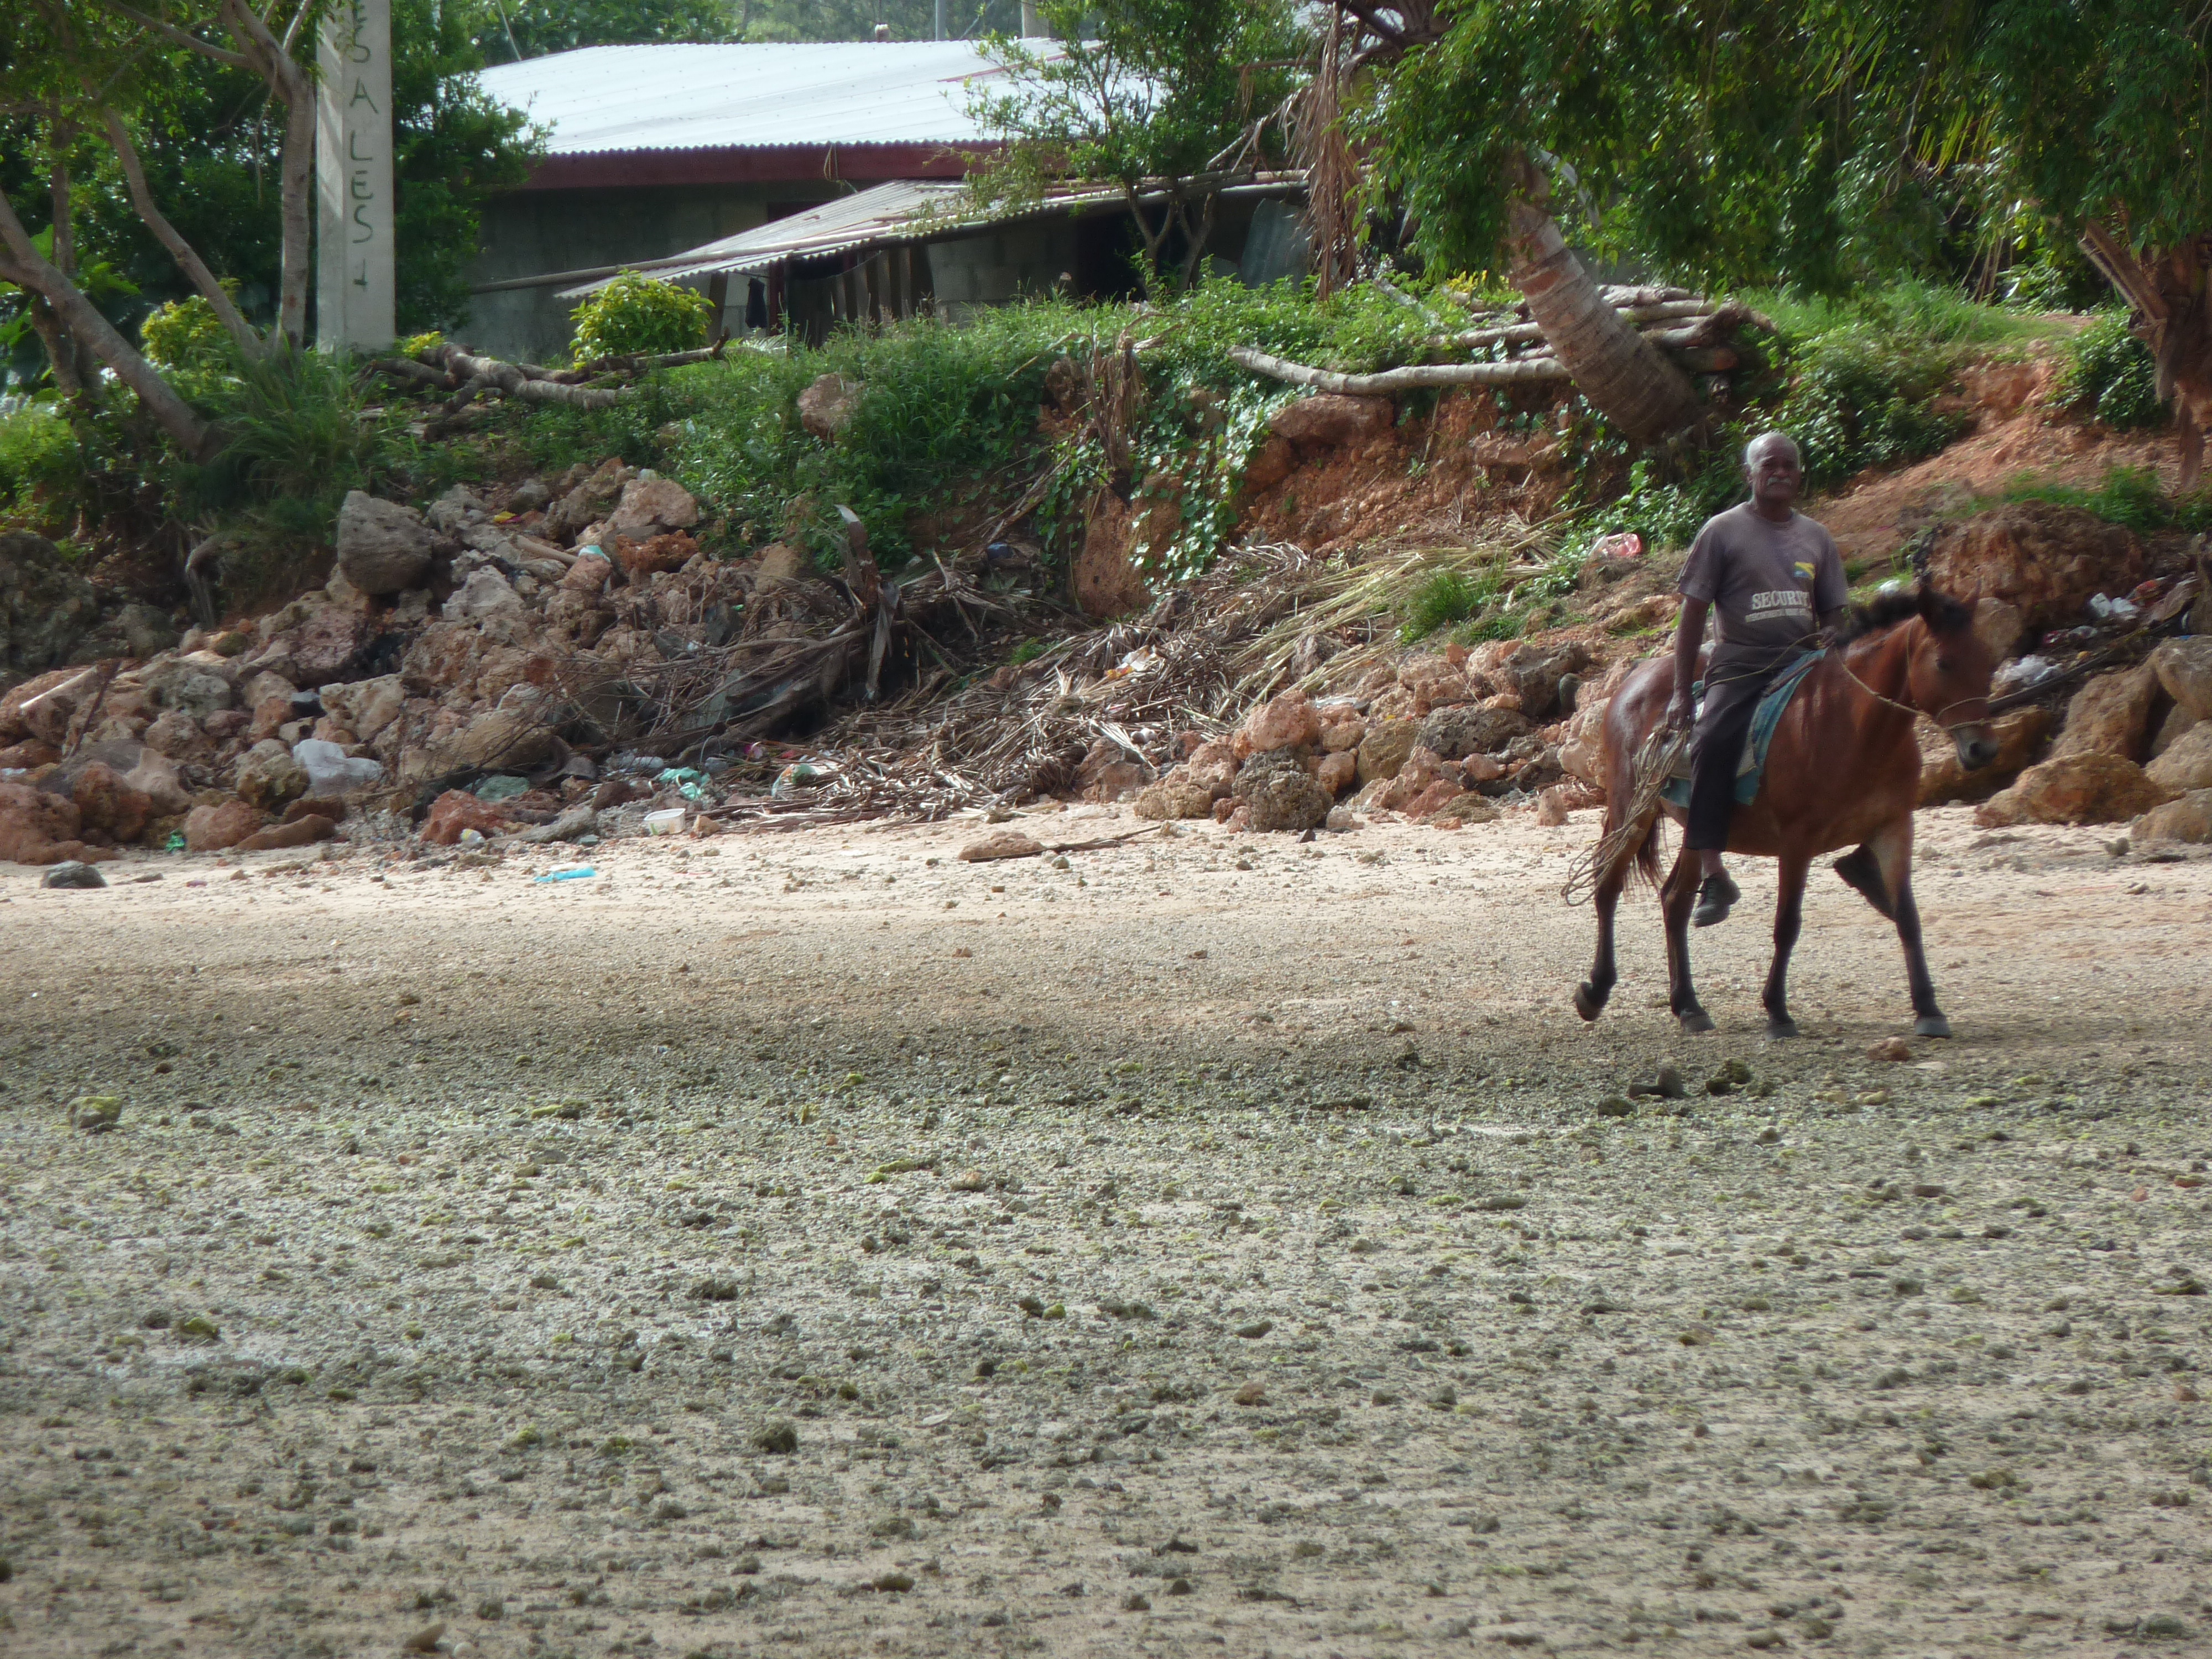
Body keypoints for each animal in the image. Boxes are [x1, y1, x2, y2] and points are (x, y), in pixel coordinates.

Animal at [1575, 588, 2008, 1040]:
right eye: (1943, 663)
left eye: (1987, 661)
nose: (1982, 750)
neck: (1855, 725)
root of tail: (1632, 682)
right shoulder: (1798, 840)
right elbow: (1787, 924)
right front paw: (1777, 1011)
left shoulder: (1895, 827)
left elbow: (1907, 917)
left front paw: (1928, 1008)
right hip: (1631, 811)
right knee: (1607, 885)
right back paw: (1596, 990)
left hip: (1694, 825)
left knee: (1675, 900)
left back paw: (1689, 1005)